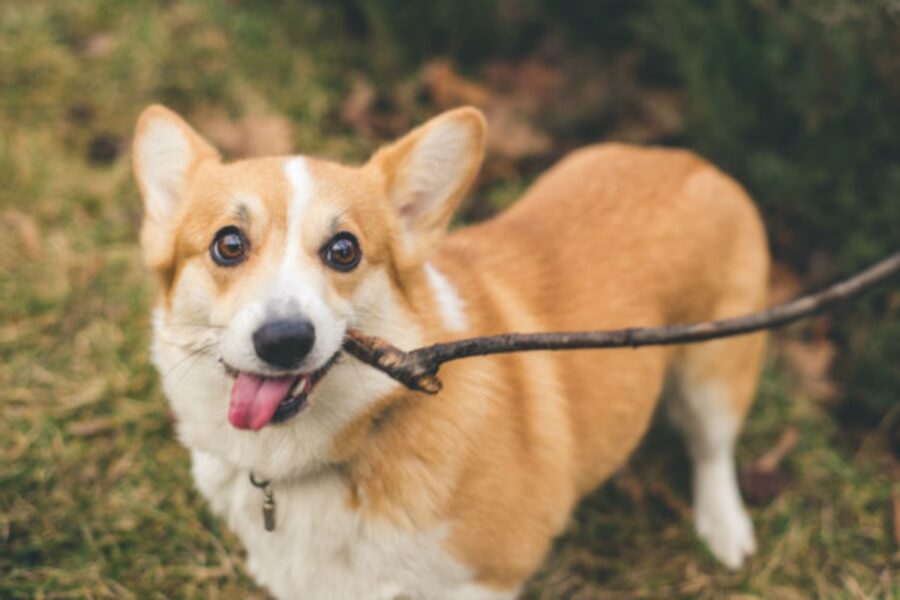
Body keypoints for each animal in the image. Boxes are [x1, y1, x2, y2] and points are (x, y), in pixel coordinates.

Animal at [132, 105, 768, 596]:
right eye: (228, 244)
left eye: (344, 250)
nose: (285, 339)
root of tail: (690, 160)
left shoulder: (486, 579)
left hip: (713, 366)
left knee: (712, 448)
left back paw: (724, 528)